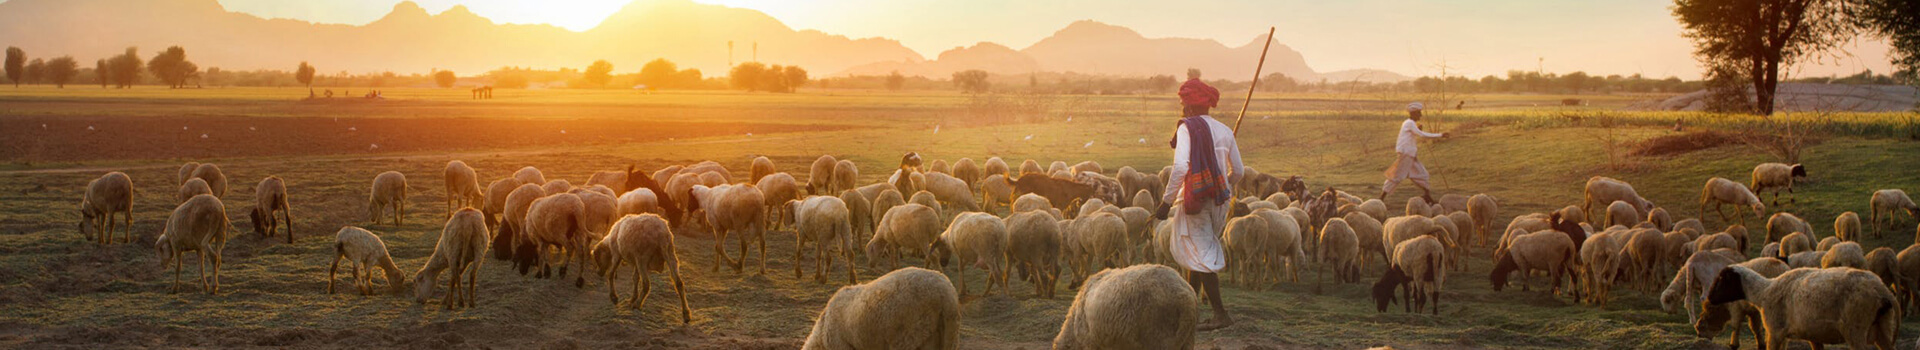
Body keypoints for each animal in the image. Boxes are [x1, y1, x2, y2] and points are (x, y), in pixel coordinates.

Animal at [1704, 265, 1896, 350]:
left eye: (1721, 278)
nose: (1709, 298)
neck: (1763, 292)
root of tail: (1881, 291)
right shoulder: (1812, 335)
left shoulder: (1774, 331)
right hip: (1883, 328)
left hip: (1855, 329)